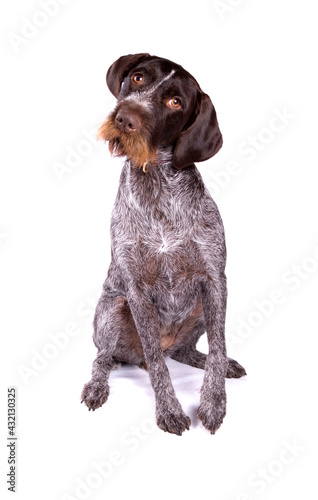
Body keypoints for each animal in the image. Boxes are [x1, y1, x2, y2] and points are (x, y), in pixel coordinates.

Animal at [80, 53, 245, 434]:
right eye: (138, 78)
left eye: (175, 103)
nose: (125, 117)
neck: (158, 184)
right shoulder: (137, 291)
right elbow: (157, 362)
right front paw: (169, 409)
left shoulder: (215, 281)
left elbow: (217, 347)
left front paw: (214, 402)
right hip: (112, 310)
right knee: (104, 358)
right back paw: (97, 386)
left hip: (200, 308)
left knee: (184, 352)